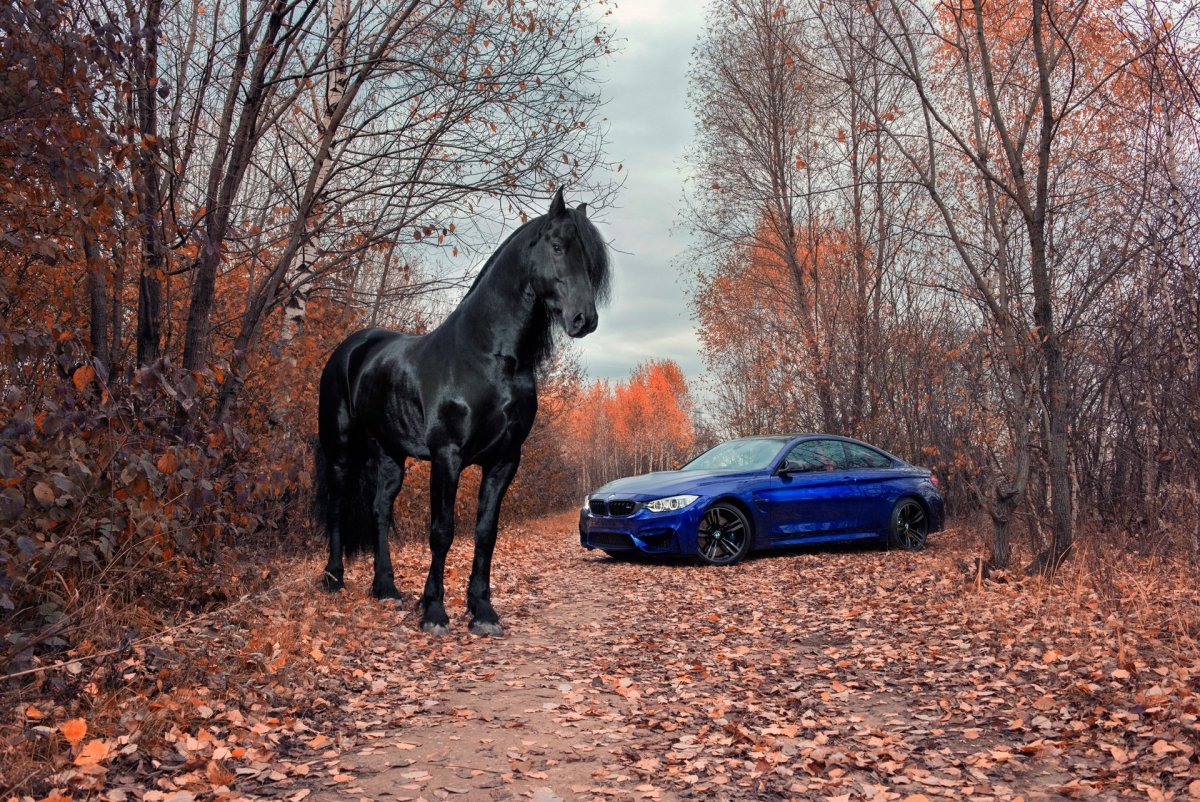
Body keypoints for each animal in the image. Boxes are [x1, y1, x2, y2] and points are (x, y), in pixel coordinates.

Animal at [313, 188, 610, 636]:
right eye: (558, 246)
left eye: (591, 261)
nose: (584, 319)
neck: (487, 357)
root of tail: (351, 348)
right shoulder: (447, 456)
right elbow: (442, 531)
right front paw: (435, 612)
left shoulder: (504, 460)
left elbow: (485, 532)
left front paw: (483, 611)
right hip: (342, 449)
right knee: (336, 506)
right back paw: (333, 578)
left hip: (390, 453)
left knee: (380, 509)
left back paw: (386, 588)